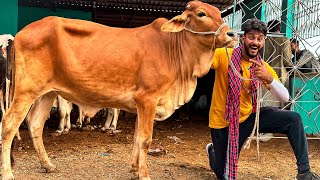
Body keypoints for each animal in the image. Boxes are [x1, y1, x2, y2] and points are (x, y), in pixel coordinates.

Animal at [0, 0, 238, 179]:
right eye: (201, 13)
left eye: (220, 13)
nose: (232, 35)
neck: (174, 49)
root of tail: (19, 34)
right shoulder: (148, 99)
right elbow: (145, 139)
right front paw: (144, 174)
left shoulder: (141, 104)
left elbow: (136, 137)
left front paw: (134, 169)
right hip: (25, 92)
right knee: (9, 124)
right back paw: (8, 173)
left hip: (47, 93)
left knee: (35, 124)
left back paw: (48, 165)